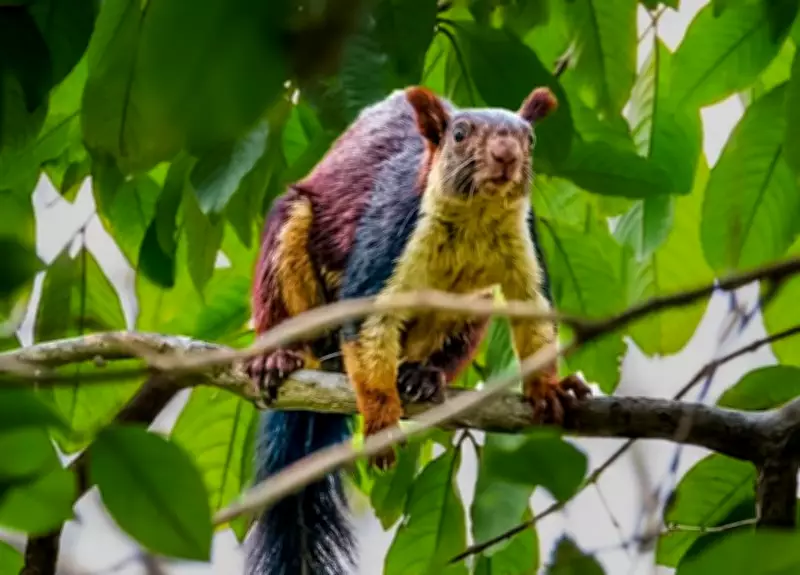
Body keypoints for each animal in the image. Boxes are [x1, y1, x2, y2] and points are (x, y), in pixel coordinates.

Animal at [245, 85, 590, 575]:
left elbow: (534, 315)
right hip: (291, 240)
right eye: (460, 134)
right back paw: (278, 355)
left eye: (530, 139)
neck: (476, 218)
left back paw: (423, 374)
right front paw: (382, 421)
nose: (506, 156)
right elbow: (367, 326)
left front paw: (549, 388)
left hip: (472, 305)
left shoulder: (525, 245)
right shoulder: (390, 233)